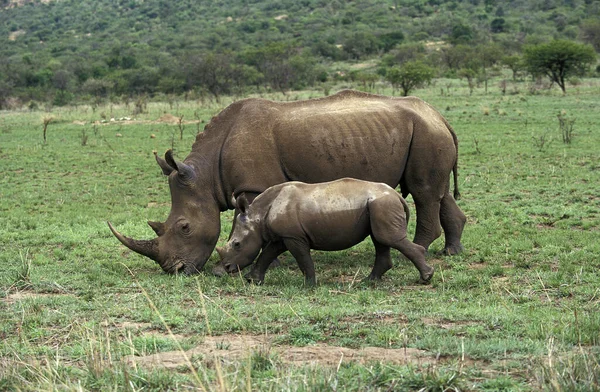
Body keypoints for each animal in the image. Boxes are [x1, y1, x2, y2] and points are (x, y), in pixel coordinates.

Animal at [218, 178, 434, 284]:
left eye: (237, 244)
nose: (226, 269)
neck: (259, 213)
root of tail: (397, 196)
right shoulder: (283, 236)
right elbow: (267, 253)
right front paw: (252, 280)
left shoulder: (294, 236)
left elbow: (302, 258)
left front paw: (309, 285)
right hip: (378, 205)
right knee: (380, 240)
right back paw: (369, 282)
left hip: (383, 204)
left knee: (388, 238)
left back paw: (426, 278)